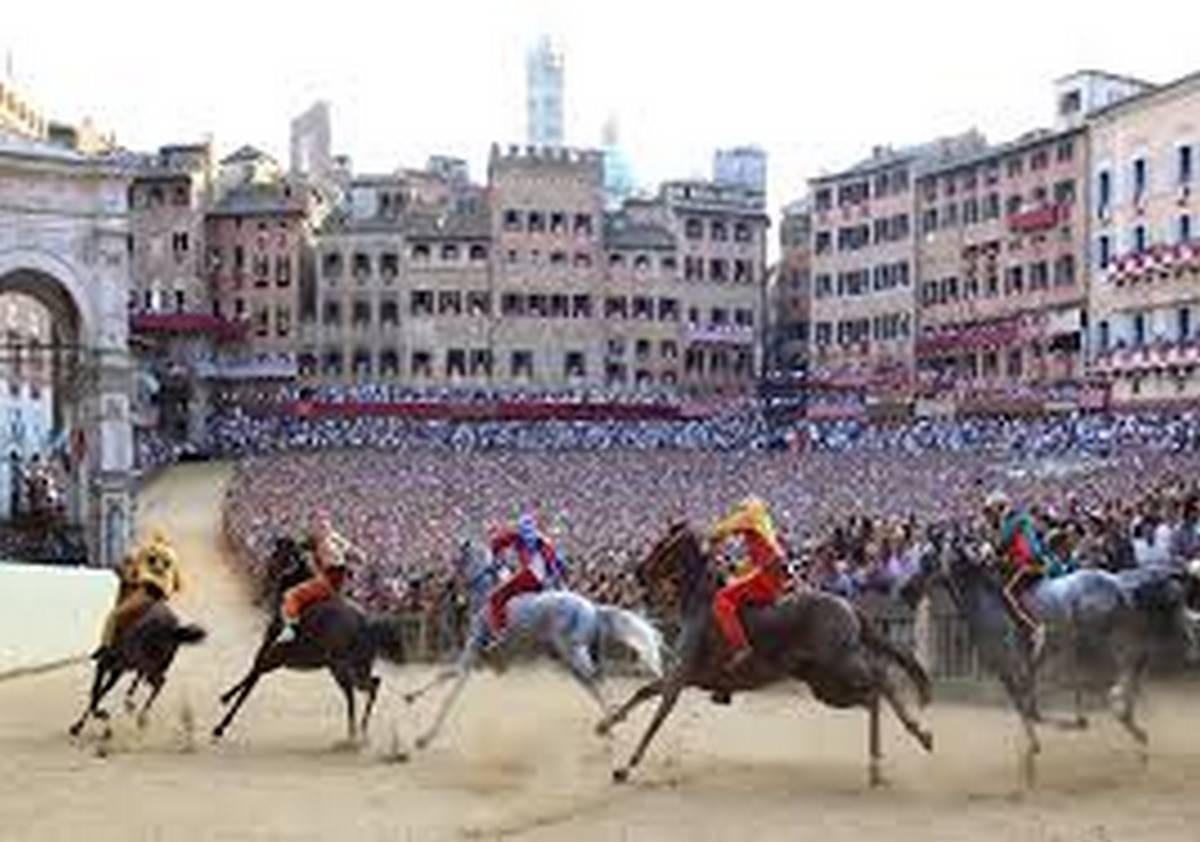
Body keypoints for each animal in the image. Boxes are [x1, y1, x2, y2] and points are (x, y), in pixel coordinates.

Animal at [68, 599, 206, 738]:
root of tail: (176, 629)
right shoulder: (105, 667)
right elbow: (96, 692)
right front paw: (80, 726)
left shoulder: (115, 670)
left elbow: (98, 693)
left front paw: (97, 720)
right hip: (149, 665)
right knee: (148, 678)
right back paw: (131, 702)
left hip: (152, 666)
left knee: (159, 682)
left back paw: (141, 716)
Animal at [208, 537, 405, 748]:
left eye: (275, 555)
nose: (265, 576)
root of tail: (368, 625)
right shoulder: (273, 653)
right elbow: (252, 673)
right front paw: (225, 700)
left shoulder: (273, 653)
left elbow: (252, 677)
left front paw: (220, 724)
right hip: (350, 666)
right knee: (368, 686)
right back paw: (358, 732)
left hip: (344, 667)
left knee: (360, 691)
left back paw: (354, 734)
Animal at [403, 542, 667, 753]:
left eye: (458, 559)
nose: (447, 585)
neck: (486, 594)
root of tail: (593, 608)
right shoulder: (481, 661)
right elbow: (447, 678)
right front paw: (413, 704)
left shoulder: (472, 652)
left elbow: (449, 684)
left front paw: (422, 730)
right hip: (577, 659)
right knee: (596, 686)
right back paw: (610, 727)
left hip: (574, 655)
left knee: (599, 685)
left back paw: (613, 721)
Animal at [600, 525, 936, 786]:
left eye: (661, 544)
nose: (638, 572)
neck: (700, 603)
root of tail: (848, 606)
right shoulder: (686, 675)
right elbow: (644, 691)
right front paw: (605, 724)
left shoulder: (681, 676)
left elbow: (658, 716)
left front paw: (626, 767)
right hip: (824, 685)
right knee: (871, 697)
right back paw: (881, 762)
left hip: (841, 664)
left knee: (881, 680)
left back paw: (915, 736)